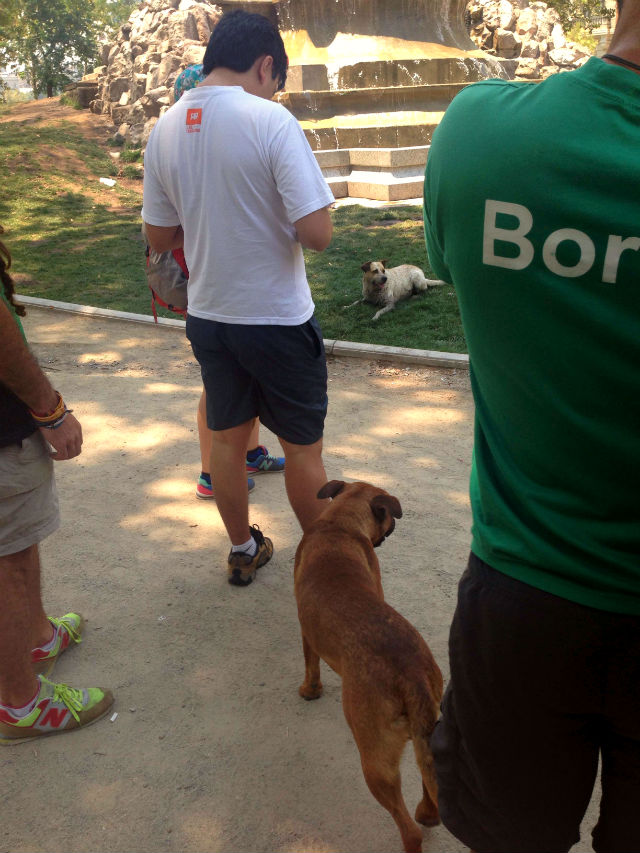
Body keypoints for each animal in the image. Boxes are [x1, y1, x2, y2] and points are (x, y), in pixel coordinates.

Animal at [292, 480, 442, 852]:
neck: (340, 524)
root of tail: (412, 675)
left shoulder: (307, 634)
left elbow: (311, 665)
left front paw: (309, 691)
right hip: (426, 738)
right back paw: (428, 814)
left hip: (375, 761)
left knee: (409, 831)